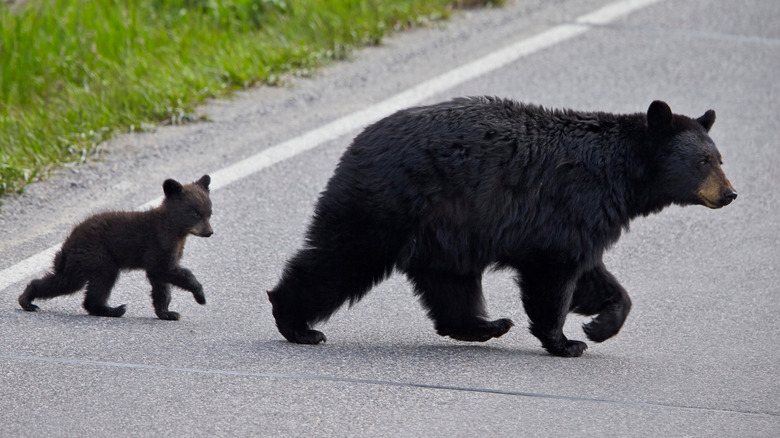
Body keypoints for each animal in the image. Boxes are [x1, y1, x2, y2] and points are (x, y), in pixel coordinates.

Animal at [19, 175, 213, 320]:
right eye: (195, 213)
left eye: (209, 212)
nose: (209, 232)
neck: (175, 229)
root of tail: (68, 241)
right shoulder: (159, 243)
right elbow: (165, 270)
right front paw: (200, 295)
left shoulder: (167, 251)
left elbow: (161, 283)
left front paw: (167, 313)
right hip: (96, 255)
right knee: (82, 281)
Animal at [267, 98, 737, 357]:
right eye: (703, 161)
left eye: (719, 158)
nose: (730, 193)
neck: (619, 172)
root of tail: (357, 142)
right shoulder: (569, 205)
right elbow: (555, 275)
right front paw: (566, 342)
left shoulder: (587, 219)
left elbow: (594, 275)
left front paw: (600, 324)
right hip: (388, 204)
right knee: (341, 257)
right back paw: (297, 323)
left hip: (444, 230)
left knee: (449, 284)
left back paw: (487, 325)